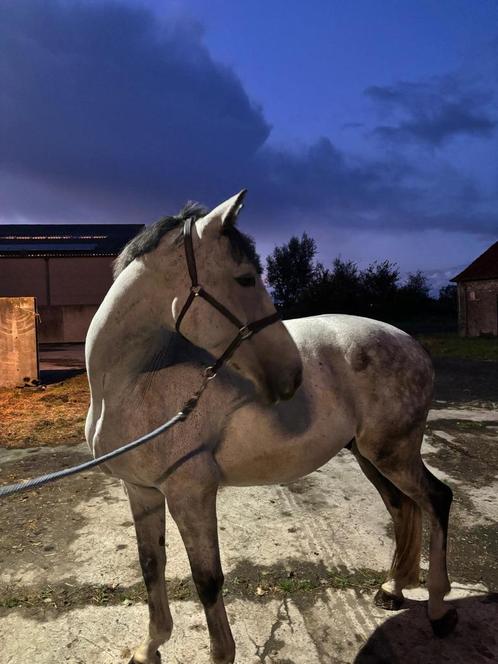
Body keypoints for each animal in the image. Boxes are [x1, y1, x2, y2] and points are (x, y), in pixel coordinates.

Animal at [84, 189, 456, 660]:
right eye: (245, 278)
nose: (292, 375)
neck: (136, 383)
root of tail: (412, 344)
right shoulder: (142, 491)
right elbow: (152, 566)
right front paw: (149, 647)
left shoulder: (190, 493)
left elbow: (207, 581)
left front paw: (219, 654)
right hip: (371, 455)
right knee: (403, 506)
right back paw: (393, 588)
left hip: (395, 453)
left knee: (437, 499)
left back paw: (439, 610)